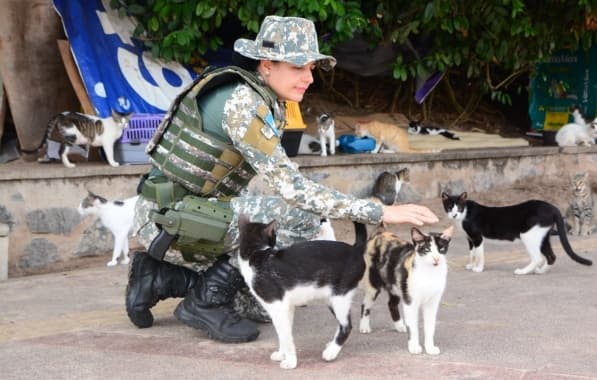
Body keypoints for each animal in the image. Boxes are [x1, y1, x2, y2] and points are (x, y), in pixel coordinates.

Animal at [235, 218, 366, 370]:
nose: (276, 241)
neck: (256, 254)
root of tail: (355, 249)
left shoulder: (278, 306)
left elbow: (286, 335)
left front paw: (291, 361)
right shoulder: (287, 307)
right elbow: (283, 334)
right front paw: (282, 354)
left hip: (340, 297)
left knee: (346, 326)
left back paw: (331, 352)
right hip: (331, 299)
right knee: (341, 323)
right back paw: (331, 345)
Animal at [440, 191, 588, 274]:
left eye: (459, 207)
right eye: (449, 207)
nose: (454, 215)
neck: (465, 214)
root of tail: (553, 207)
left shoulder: (477, 238)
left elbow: (479, 254)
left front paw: (478, 269)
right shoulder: (470, 239)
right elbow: (472, 254)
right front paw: (471, 265)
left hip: (528, 235)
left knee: (538, 257)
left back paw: (522, 272)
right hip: (543, 236)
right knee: (551, 256)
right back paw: (540, 271)